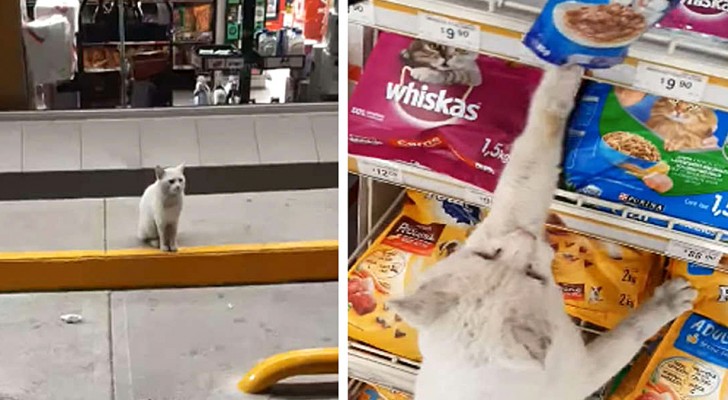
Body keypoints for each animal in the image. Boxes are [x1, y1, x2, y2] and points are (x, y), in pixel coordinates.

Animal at [390, 65, 696, 400]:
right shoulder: (579, 373)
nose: (524, 238)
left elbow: (536, 144)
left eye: (487, 254)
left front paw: (563, 71)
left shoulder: (508, 214)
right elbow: (629, 333)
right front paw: (670, 300)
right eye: (535, 276)